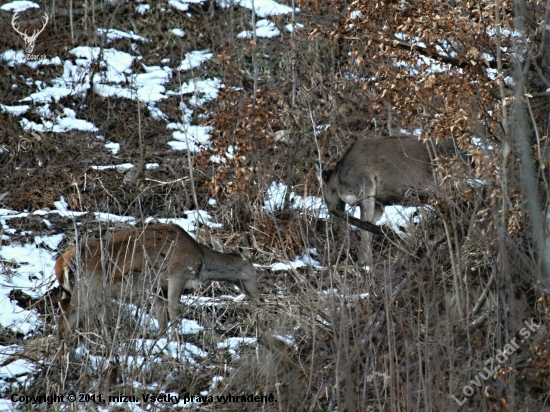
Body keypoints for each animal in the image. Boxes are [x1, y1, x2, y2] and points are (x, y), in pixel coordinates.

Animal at [57, 225, 260, 338]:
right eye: (257, 272)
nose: (259, 298)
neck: (201, 262)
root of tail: (62, 263)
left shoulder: (157, 286)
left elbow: (161, 317)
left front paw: (163, 341)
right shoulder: (177, 274)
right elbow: (174, 312)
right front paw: (177, 344)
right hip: (90, 286)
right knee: (68, 315)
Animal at [324, 135, 452, 264]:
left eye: (325, 198)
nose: (331, 210)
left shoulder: (365, 186)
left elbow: (365, 229)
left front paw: (365, 264)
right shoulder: (379, 204)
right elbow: (369, 228)